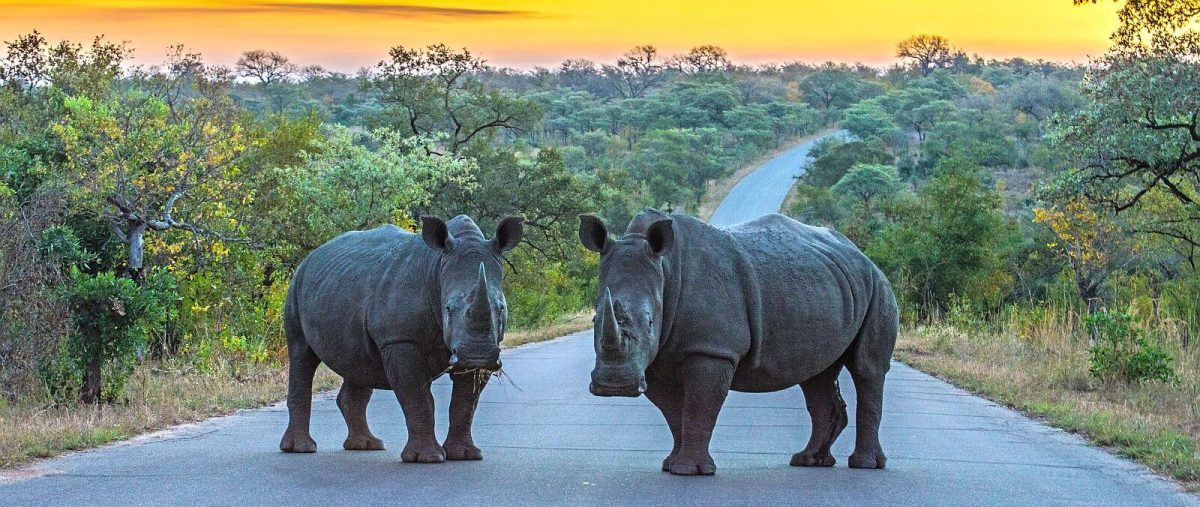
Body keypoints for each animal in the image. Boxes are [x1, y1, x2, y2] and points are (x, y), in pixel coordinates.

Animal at [280, 215, 523, 463]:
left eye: (501, 308)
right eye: (448, 309)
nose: (477, 355)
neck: (437, 269)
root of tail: (311, 256)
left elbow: (465, 403)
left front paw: (465, 455)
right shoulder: (399, 339)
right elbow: (418, 397)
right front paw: (427, 458)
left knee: (358, 363)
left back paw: (366, 445)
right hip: (296, 287)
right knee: (301, 354)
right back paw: (301, 448)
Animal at [578, 209, 897, 475]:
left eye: (649, 322)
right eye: (594, 319)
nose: (614, 386)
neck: (665, 271)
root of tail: (862, 255)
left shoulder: (713, 349)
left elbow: (699, 406)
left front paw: (689, 470)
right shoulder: (656, 359)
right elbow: (672, 411)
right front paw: (670, 465)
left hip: (878, 286)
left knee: (867, 369)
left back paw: (865, 465)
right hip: (828, 287)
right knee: (816, 376)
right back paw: (809, 461)